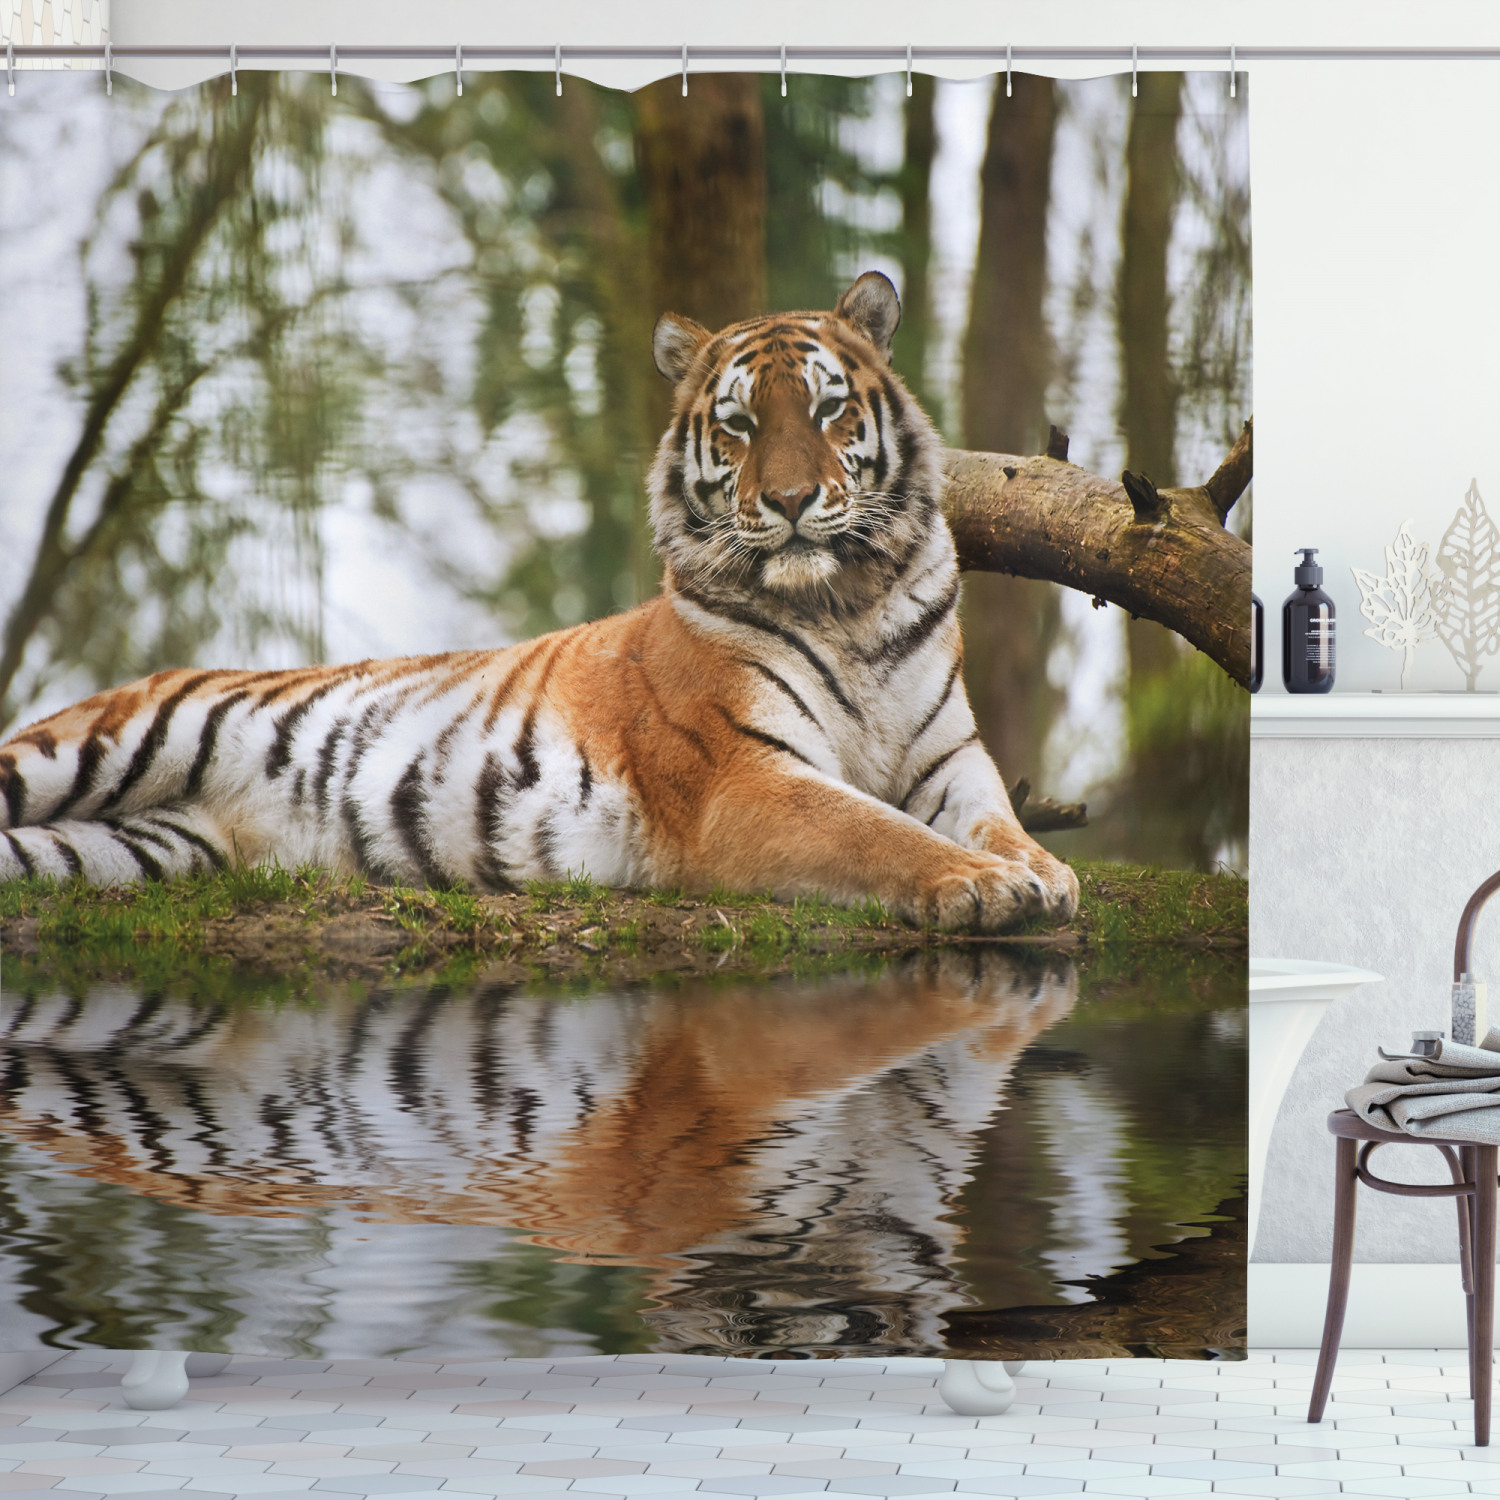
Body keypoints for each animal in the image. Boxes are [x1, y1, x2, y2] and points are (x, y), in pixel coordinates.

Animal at [0, 271, 1078, 932]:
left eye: (827, 409)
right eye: (738, 424)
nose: (789, 501)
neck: (846, 605)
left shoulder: (950, 762)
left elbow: (994, 820)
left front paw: (1042, 871)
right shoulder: (748, 778)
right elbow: (875, 831)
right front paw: (984, 887)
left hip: (128, 849)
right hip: (94, 747)